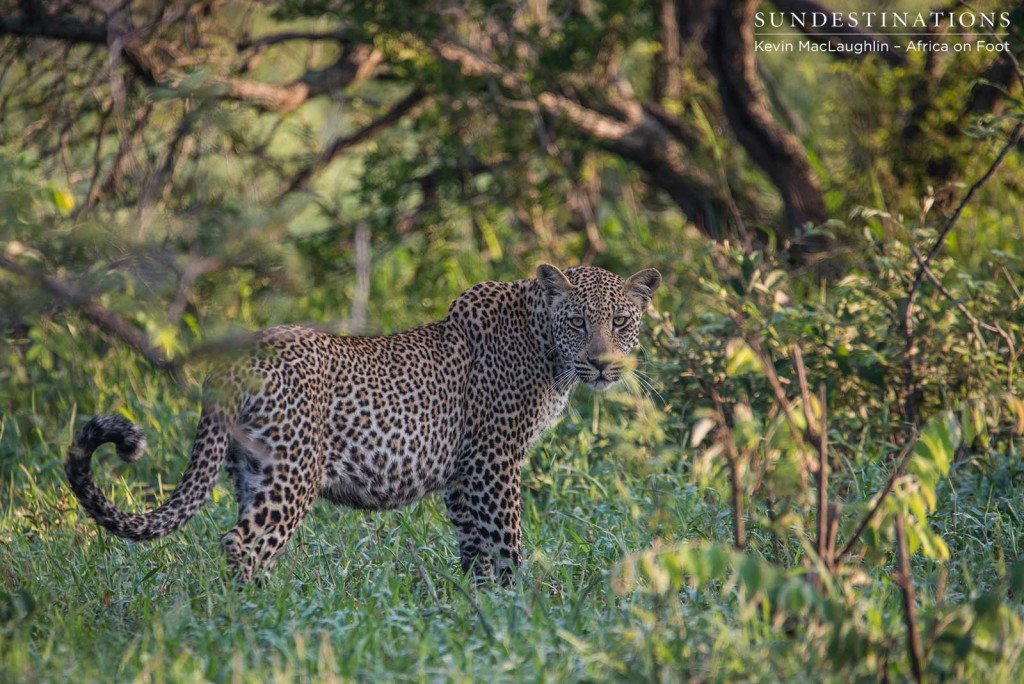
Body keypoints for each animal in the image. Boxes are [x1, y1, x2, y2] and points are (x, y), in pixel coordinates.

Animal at [70, 262, 663, 581]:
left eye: (621, 322)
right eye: (578, 321)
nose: (604, 363)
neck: (548, 352)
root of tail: (237, 359)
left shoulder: (462, 474)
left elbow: (474, 547)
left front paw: (478, 608)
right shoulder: (494, 463)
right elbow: (507, 541)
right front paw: (523, 609)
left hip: (250, 471)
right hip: (292, 471)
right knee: (243, 543)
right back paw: (260, 621)